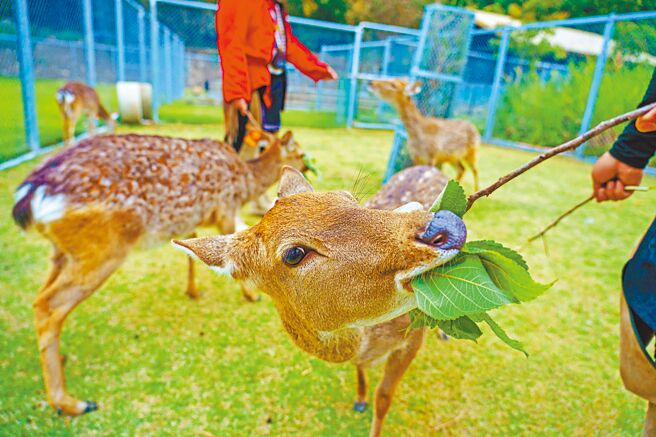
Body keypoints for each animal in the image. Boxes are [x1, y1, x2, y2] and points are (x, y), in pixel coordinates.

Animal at [11, 129, 308, 417]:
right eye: (299, 152)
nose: (307, 166)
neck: (245, 181)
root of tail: (30, 196)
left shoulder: (193, 219)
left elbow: (191, 248)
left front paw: (192, 291)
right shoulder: (225, 207)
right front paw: (250, 295)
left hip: (63, 251)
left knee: (41, 297)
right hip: (103, 247)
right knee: (48, 304)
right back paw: (69, 403)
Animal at [174, 164, 463, 437]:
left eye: (349, 197)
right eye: (294, 253)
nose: (446, 224)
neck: (369, 343)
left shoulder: (413, 336)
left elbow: (383, 398)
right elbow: (362, 373)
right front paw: (359, 399)